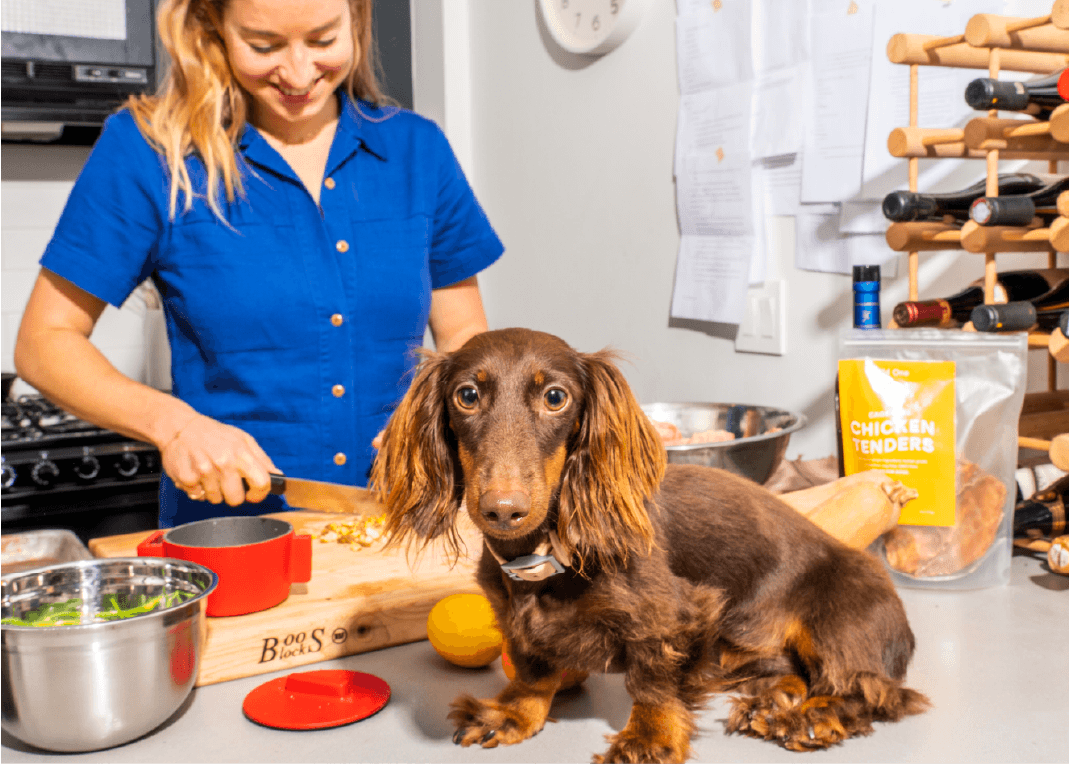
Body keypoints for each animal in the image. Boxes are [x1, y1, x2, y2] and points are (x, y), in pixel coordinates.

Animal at [374, 331, 927, 764]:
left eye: (555, 397)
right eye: (467, 395)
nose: (503, 510)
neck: (549, 557)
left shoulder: (681, 616)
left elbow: (653, 680)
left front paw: (649, 736)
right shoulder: (515, 621)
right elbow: (533, 671)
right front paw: (511, 713)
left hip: (840, 622)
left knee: (868, 691)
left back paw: (809, 718)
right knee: (794, 672)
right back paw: (774, 700)